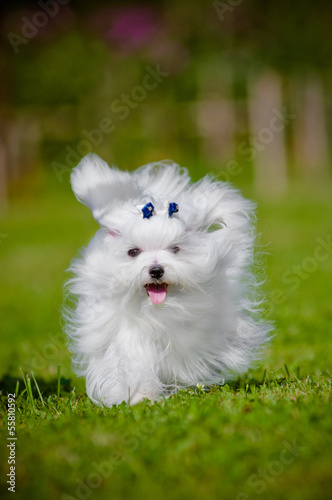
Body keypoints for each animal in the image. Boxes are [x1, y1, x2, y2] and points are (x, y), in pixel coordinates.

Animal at [63, 152, 272, 406]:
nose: (156, 270)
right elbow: (135, 359)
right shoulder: (126, 333)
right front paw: (141, 395)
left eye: (175, 249)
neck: (159, 310)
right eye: (133, 252)